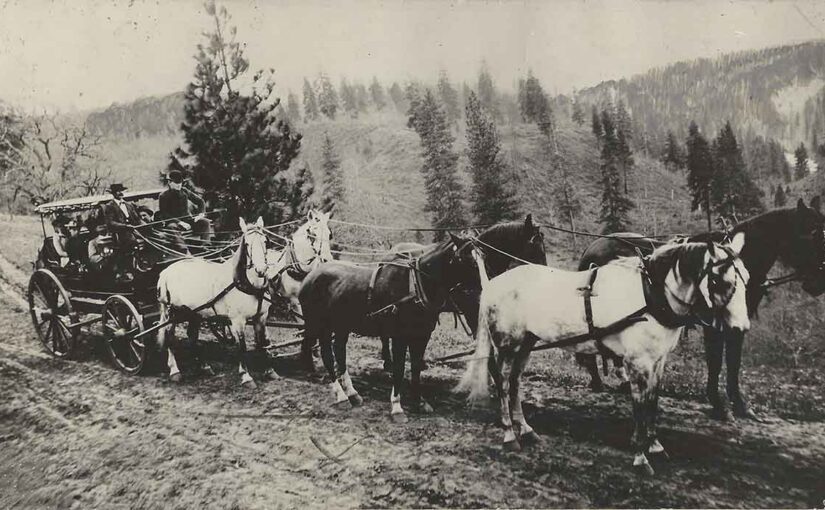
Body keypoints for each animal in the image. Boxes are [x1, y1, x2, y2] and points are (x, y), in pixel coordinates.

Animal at [155, 217, 268, 388]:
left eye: (265, 241)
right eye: (247, 244)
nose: (261, 270)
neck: (246, 283)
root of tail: (166, 271)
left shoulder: (261, 317)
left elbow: (262, 343)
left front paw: (270, 371)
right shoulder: (238, 320)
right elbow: (242, 347)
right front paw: (246, 377)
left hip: (193, 312)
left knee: (192, 336)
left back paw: (203, 366)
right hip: (171, 312)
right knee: (169, 337)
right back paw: (175, 371)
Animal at [460, 238, 748, 474]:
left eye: (746, 277)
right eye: (719, 280)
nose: (741, 328)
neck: (649, 294)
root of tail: (493, 283)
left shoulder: (657, 361)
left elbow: (653, 402)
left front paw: (655, 445)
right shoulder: (637, 362)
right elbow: (639, 405)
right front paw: (640, 456)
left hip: (526, 343)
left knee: (516, 383)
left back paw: (526, 429)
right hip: (508, 344)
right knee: (503, 382)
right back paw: (510, 434)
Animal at [572, 198, 824, 418]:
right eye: (813, 234)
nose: (817, 283)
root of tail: (593, 246)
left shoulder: (736, 324)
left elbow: (733, 363)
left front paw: (739, 405)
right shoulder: (713, 325)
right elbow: (715, 362)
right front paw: (718, 404)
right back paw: (598, 381)